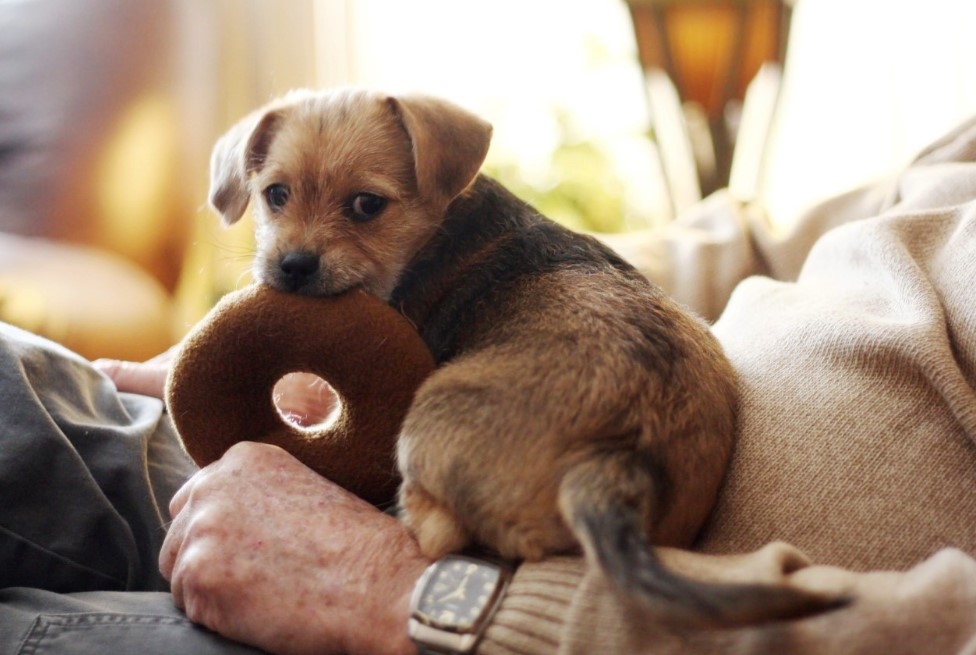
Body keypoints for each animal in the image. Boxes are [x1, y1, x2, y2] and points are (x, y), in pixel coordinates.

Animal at [206, 87, 840, 624]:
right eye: (275, 195)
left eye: (366, 205)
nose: (292, 266)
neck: (437, 231)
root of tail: (616, 460)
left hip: (424, 426)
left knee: (438, 532)